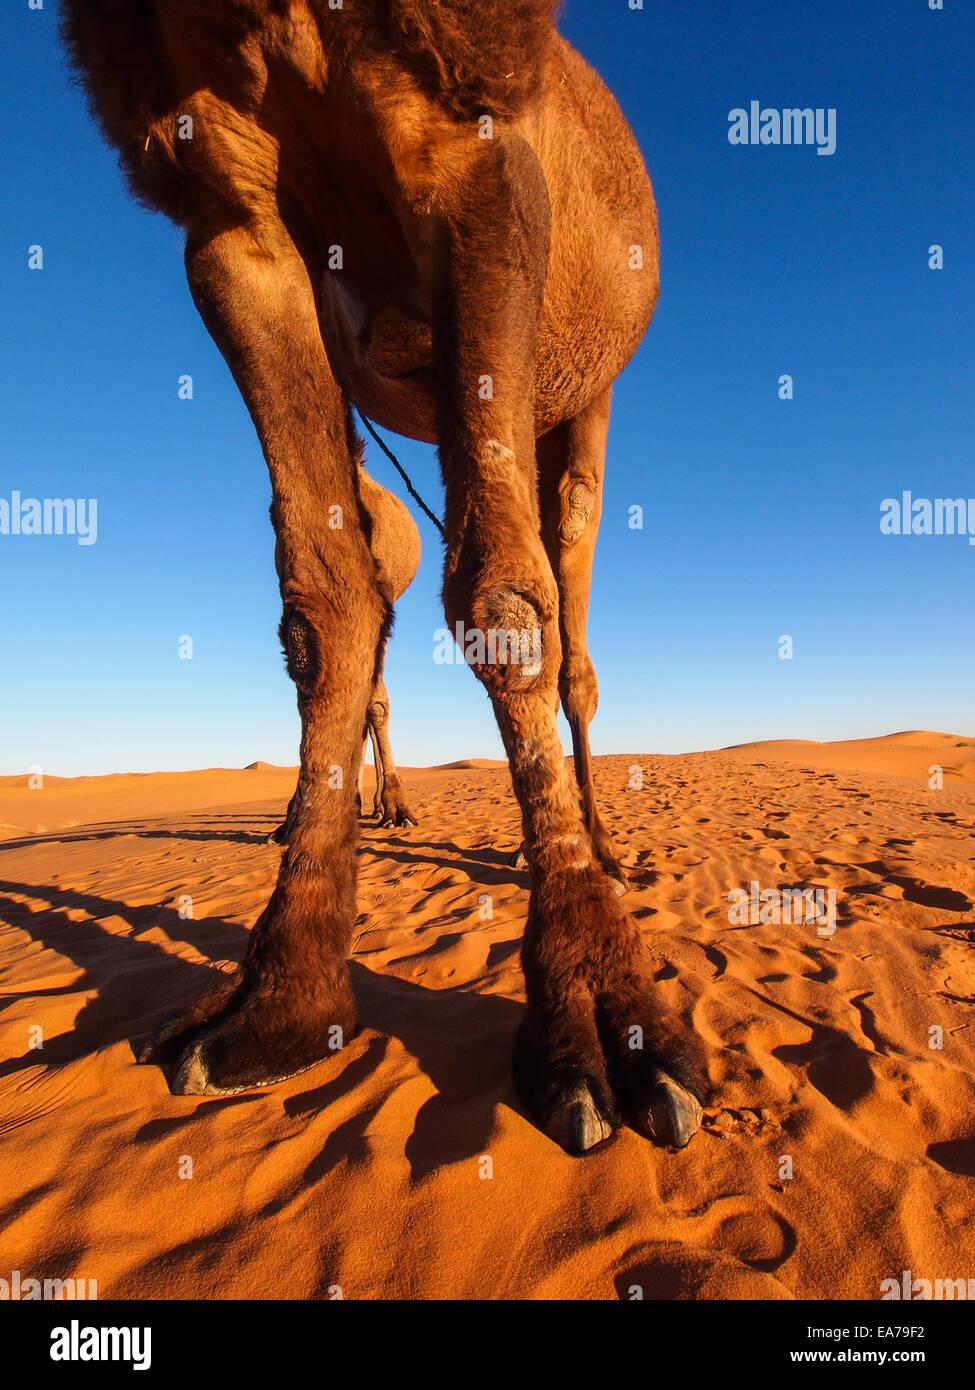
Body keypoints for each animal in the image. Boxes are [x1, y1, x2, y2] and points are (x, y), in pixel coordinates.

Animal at [63, 0, 710, 1153]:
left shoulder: (474, 133)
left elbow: (505, 602)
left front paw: (605, 1013)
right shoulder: (228, 211)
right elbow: (323, 610)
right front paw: (277, 999)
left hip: (581, 392)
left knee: (569, 607)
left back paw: (601, 843)